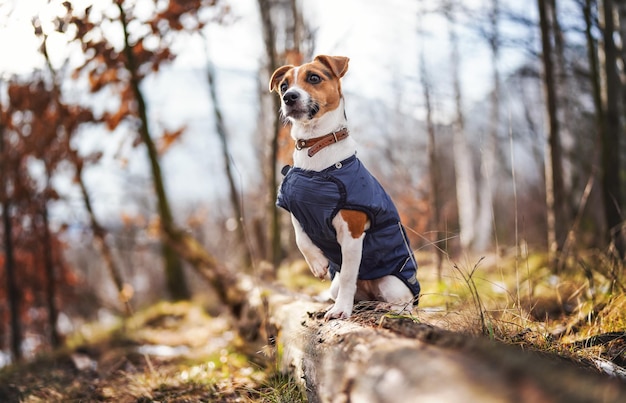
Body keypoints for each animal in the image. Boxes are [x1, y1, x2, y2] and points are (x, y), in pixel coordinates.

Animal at [268, 55, 420, 320]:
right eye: (284, 86)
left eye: (314, 77)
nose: (289, 97)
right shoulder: (295, 208)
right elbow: (300, 238)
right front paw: (318, 263)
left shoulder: (352, 232)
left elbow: (349, 273)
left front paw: (341, 310)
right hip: (335, 285)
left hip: (392, 281)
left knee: (404, 304)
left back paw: (381, 307)